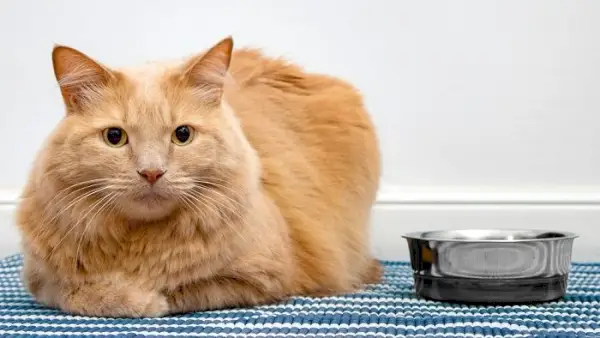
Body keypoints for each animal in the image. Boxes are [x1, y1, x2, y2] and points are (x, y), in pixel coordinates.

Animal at [16, 37, 382, 316]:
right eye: (115, 137)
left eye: (182, 135)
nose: (152, 172)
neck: (140, 242)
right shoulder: (41, 281)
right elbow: (75, 295)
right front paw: (125, 297)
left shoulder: (265, 277)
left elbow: (185, 290)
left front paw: (144, 299)